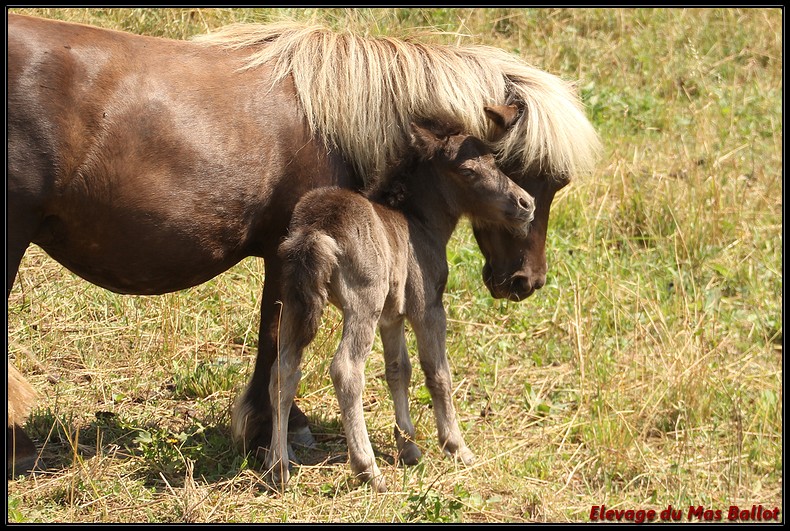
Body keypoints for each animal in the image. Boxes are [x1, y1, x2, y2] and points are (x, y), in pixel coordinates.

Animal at [269, 109, 535, 492]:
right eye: (468, 171)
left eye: (495, 162)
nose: (525, 203)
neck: (420, 223)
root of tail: (315, 231)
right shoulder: (428, 307)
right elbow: (438, 372)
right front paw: (457, 447)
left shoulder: (391, 316)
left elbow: (398, 370)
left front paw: (408, 448)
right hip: (362, 303)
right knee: (346, 369)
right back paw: (368, 470)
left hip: (294, 299)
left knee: (284, 369)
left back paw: (278, 468)